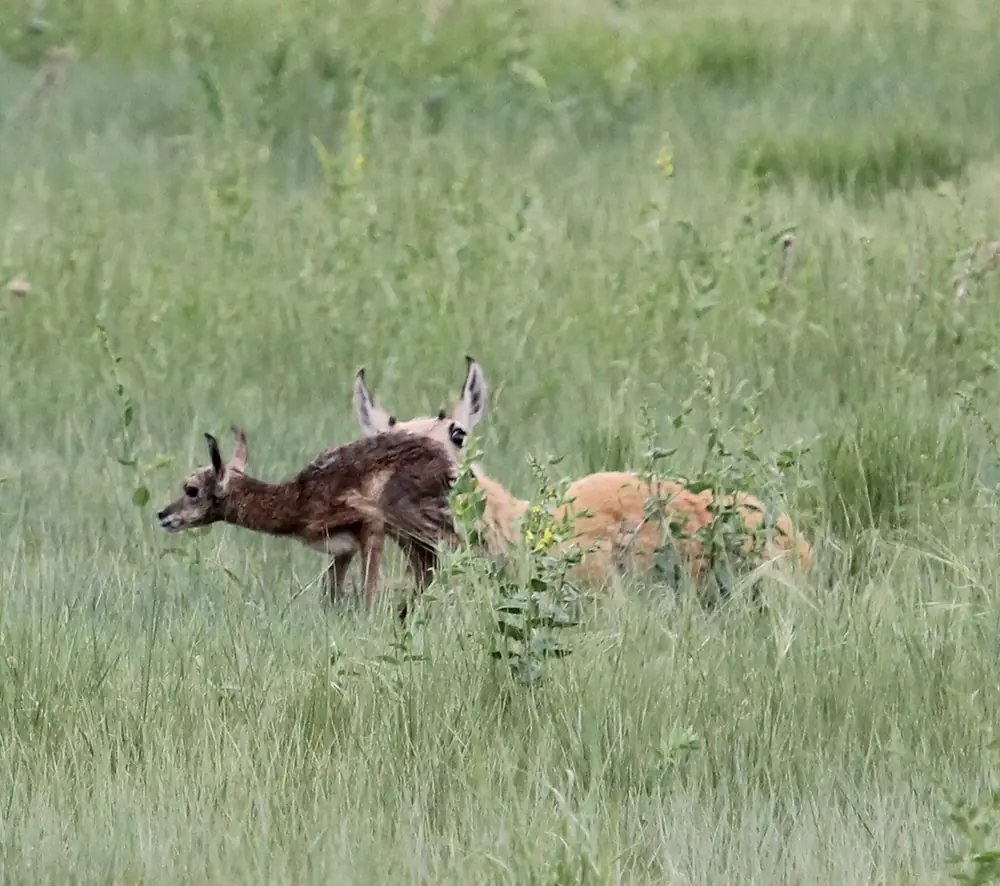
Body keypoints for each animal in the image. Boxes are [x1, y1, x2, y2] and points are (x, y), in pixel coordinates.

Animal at [156, 425, 460, 614]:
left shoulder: (369, 522)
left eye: (191, 489)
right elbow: (329, 595)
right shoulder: (342, 550)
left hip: (410, 519)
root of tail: (447, 463)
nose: (162, 515)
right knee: (429, 569)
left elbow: (368, 588)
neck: (297, 500)